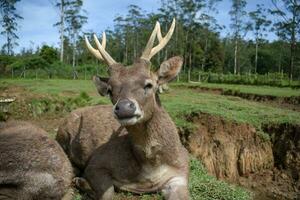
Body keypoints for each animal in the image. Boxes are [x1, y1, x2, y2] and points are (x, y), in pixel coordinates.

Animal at [55, 18, 190, 198]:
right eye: (110, 90)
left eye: (149, 84)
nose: (125, 107)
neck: (150, 168)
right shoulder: (97, 163)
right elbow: (108, 193)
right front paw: (83, 183)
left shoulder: (181, 172)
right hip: (61, 136)